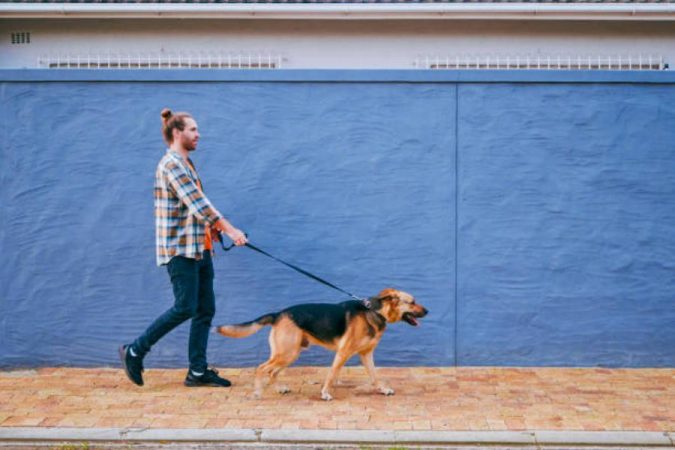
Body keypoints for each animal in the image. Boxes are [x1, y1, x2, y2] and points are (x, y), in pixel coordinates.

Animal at [217, 290, 428, 402]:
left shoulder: (366, 355)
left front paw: (383, 390)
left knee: (272, 371)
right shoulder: (343, 353)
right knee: (262, 368)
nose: (428, 311)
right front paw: (325, 393)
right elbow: (332, 374)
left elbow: (375, 377)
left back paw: (279, 389)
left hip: (291, 353)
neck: (376, 312)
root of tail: (278, 314)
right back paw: (257, 392)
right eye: (412, 302)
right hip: (287, 352)